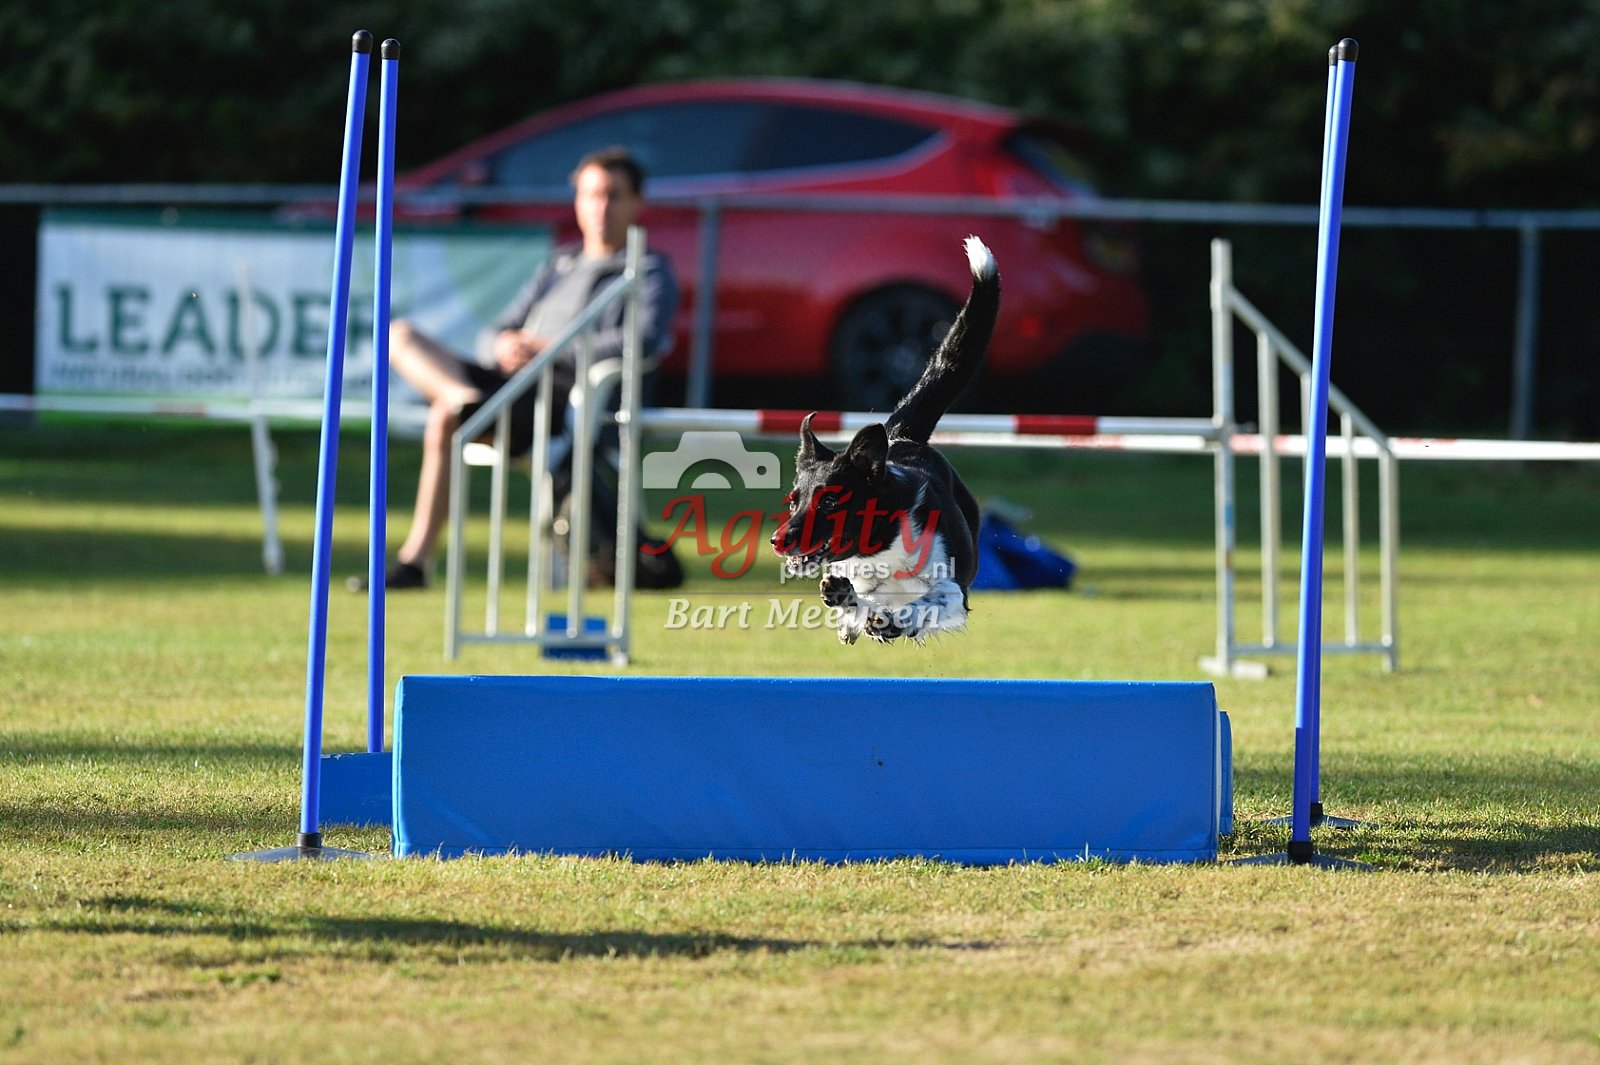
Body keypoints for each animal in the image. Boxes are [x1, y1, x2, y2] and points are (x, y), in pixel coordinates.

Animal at [770, 235, 999, 644]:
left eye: (830, 501)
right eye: (793, 500)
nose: (778, 540)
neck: (881, 545)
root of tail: (899, 436)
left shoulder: (956, 592)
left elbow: (925, 603)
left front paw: (897, 618)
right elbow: (860, 605)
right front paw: (850, 603)